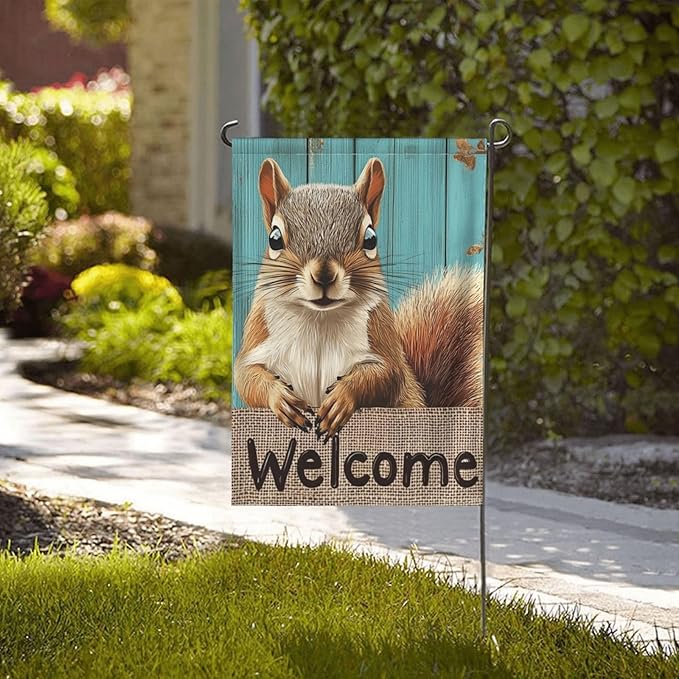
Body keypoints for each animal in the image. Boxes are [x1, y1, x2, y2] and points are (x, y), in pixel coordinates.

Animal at [235, 156, 484, 440]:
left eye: (371, 238)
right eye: (274, 239)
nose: (324, 276)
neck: (319, 319)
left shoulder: (381, 339)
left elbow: (386, 375)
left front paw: (342, 397)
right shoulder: (258, 337)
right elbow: (245, 377)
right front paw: (279, 397)